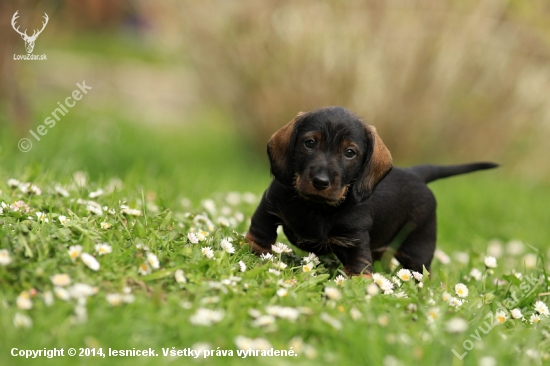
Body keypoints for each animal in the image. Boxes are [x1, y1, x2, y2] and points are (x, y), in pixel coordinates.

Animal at [248, 107, 498, 276]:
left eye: (350, 153)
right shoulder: (269, 207)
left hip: (419, 248)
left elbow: (359, 269)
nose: (320, 181)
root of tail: (416, 174)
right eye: (309, 143)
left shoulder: (355, 239)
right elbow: (260, 235)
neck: (316, 207)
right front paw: (255, 256)